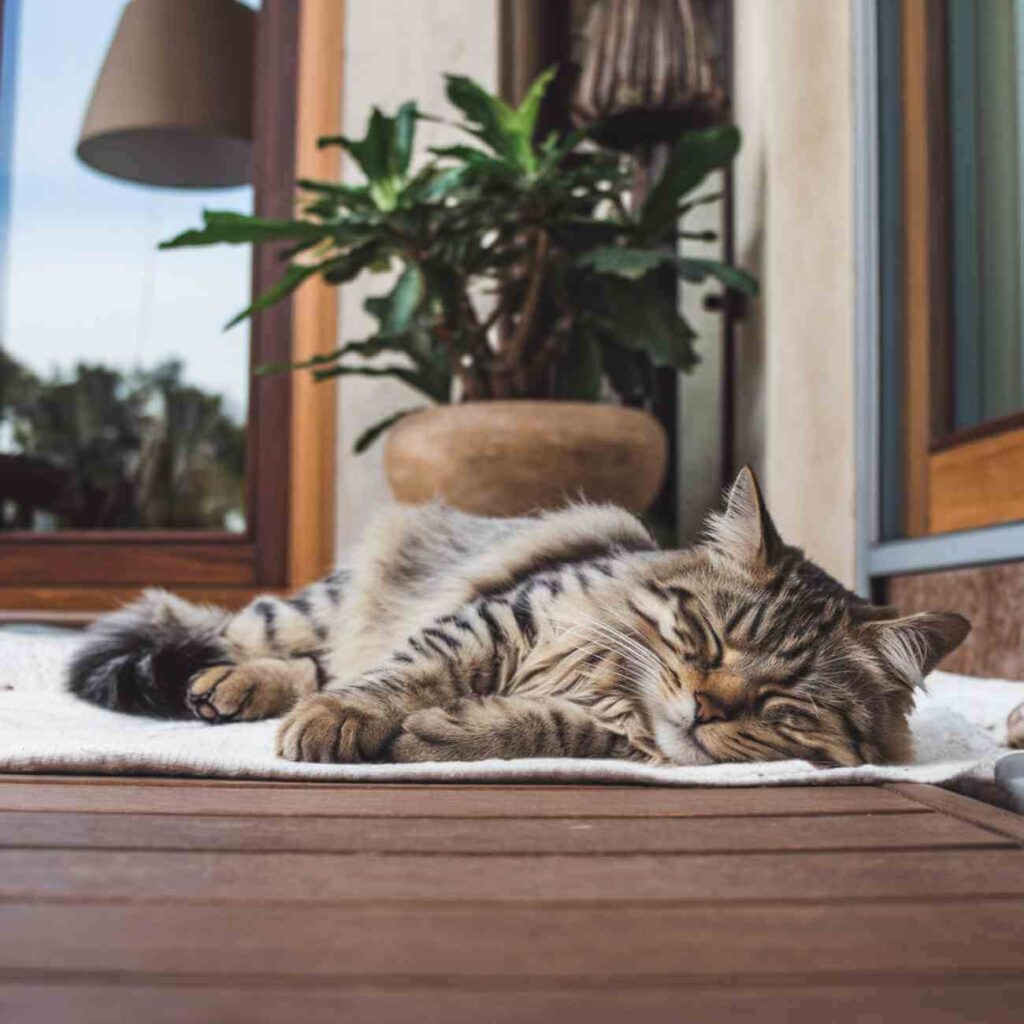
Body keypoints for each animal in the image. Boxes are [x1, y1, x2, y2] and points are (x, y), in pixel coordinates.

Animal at [70, 468, 966, 765]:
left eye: (784, 701)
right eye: (707, 639)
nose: (704, 709)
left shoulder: (610, 730)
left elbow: (545, 726)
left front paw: (439, 735)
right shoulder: (499, 619)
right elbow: (401, 674)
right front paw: (344, 721)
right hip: (303, 609)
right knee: (254, 643)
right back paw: (229, 684)